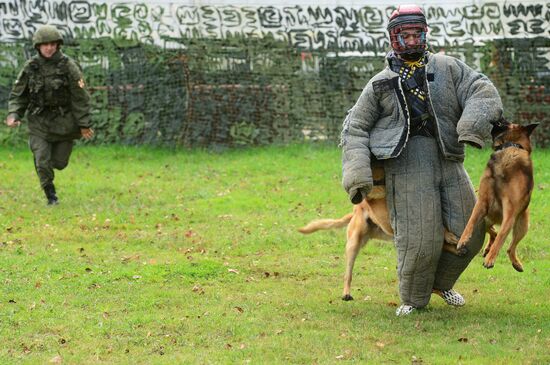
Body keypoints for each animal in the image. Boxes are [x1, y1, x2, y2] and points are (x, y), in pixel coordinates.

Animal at [460, 119, 540, 270]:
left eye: (504, 122)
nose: (496, 119)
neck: (510, 148)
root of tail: (494, 220)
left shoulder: (510, 212)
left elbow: (501, 237)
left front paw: (490, 259)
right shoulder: (481, 202)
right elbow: (470, 221)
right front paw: (463, 239)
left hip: (523, 223)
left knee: (509, 246)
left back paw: (515, 262)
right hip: (485, 221)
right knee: (493, 232)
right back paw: (487, 248)